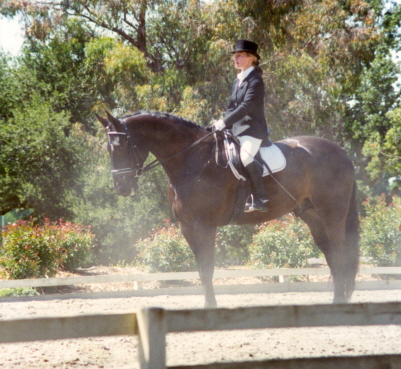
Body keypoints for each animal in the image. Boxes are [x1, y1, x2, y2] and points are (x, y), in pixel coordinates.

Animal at [96, 110, 360, 306]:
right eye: (108, 149)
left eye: (121, 146)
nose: (122, 188)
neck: (192, 160)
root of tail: (342, 152)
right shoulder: (187, 227)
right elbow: (201, 270)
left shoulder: (204, 225)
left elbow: (208, 268)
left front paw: (210, 307)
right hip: (313, 217)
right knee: (331, 257)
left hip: (333, 215)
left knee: (340, 255)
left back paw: (338, 303)